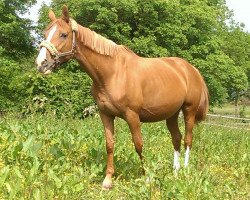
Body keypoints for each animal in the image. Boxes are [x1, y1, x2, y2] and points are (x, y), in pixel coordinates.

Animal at [35, 5, 209, 189]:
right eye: (45, 33)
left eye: (63, 34)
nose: (41, 64)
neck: (112, 73)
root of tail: (191, 69)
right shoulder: (106, 114)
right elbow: (110, 144)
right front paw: (107, 180)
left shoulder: (132, 115)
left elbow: (139, 144)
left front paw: (147, 177)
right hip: (172, 114)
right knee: (176, 139)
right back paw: (175, 172)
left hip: (189, 111)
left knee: (188, 140)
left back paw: (185, 171)